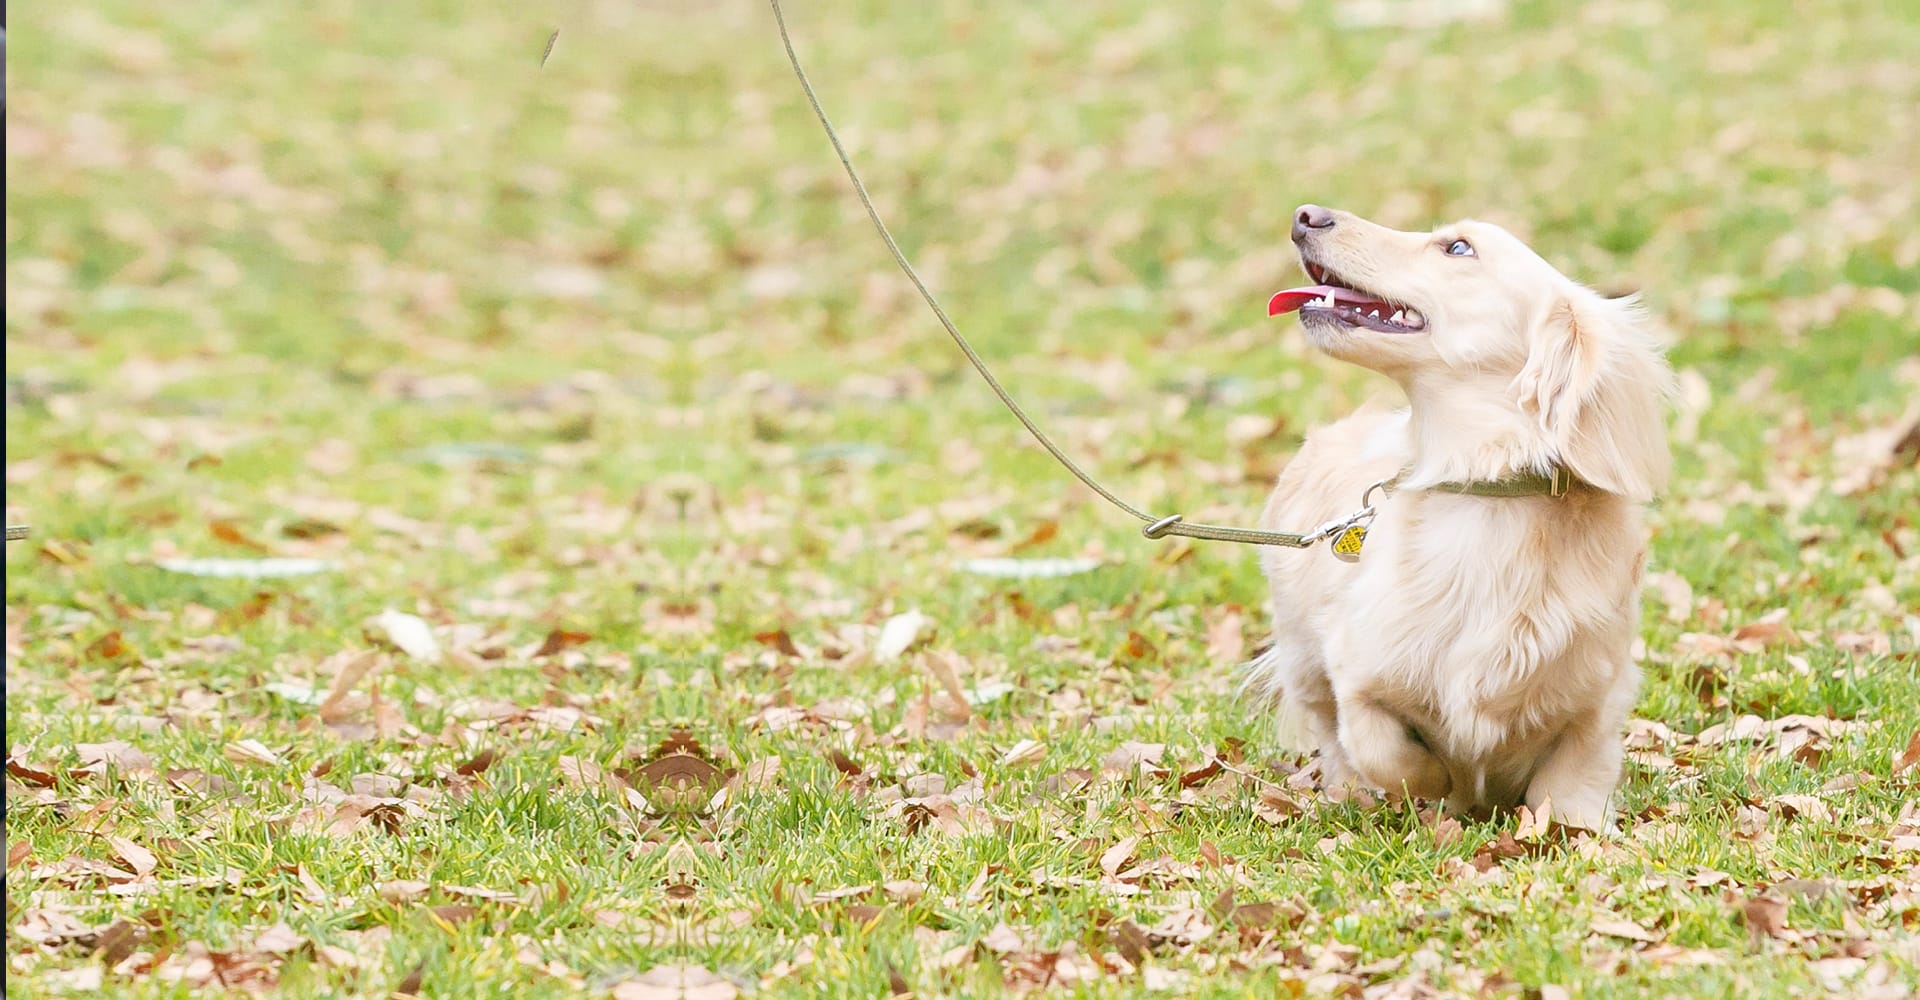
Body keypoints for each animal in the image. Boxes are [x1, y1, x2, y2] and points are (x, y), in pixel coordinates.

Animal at [1251, 202, 1674, 825]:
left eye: (1458, 248)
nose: (1307, 214)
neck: (1483, 492)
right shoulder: (1355, 672)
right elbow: (1384, 747)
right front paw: (1440, 785)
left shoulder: (1598, 700)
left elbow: (1574, 782)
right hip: (1303, 656)